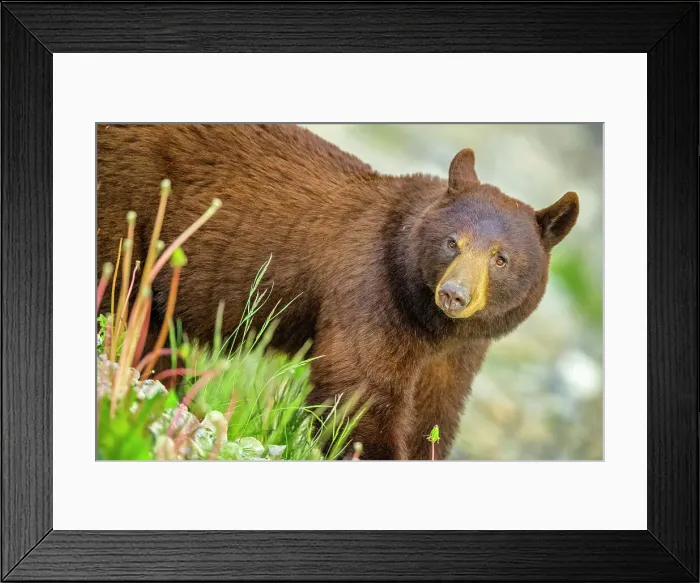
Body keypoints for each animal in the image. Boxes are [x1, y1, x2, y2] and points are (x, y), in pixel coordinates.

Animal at [96, 123, 579, 460]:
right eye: (452, 242)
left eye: (501, 258)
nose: (455, 294)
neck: (432, 325)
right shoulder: (373, 291)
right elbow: (360, 390)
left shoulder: (458, 353)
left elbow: (433, 415)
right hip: (130, 205)